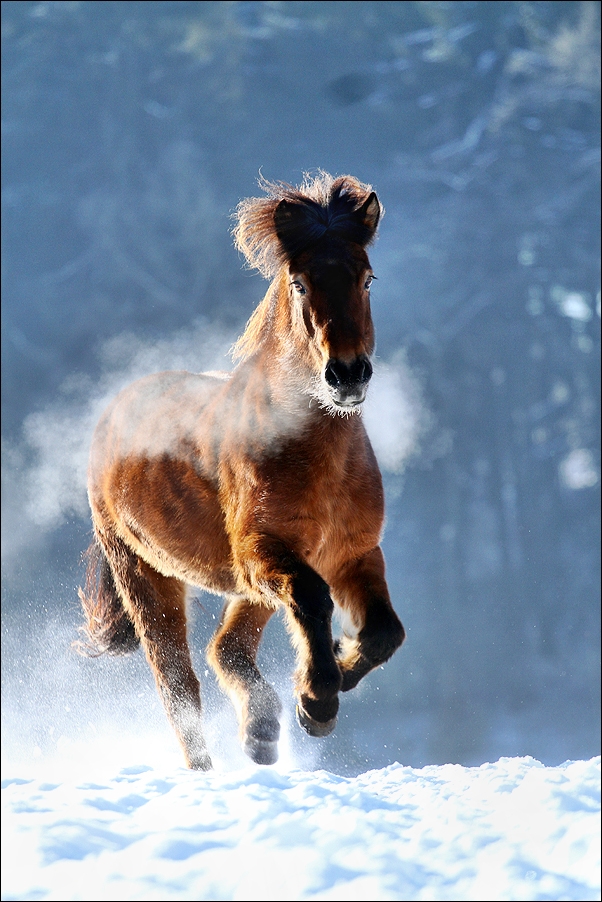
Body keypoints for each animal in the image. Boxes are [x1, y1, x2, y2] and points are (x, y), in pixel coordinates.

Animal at [76, 175, 404, 768]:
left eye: (367, 277)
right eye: (299, 283)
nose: (346, 373)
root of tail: (115, 409)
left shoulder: (352, 552)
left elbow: (385, 633)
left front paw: (327, 679)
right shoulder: (262, 550)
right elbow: (314, 599)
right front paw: (316, 700)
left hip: (249, 585)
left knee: (225, 649)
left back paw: (261, 730)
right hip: (146, 576)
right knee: (180, 690)